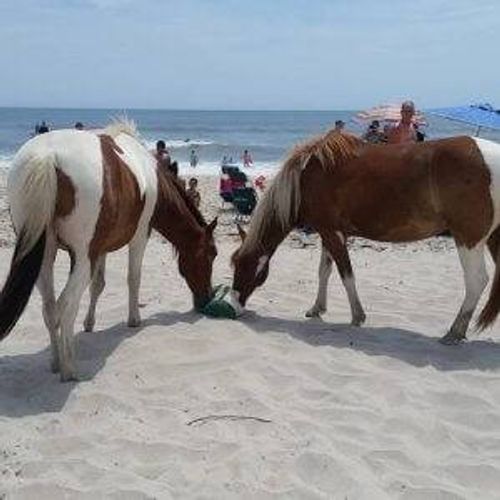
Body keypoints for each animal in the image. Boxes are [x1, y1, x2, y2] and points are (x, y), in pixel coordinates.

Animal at [0, 121, 217, 378]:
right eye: (211, 255)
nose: (207, 297)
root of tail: (48, 156)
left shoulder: (100, 248)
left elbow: (98, 285)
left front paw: (90, 323)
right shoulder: (139, 237)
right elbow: (133, 278)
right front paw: (134, 319)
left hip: (44, 256)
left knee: (50, 308)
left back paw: (55, 362)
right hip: (82, 259)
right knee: (66, 305)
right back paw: (69, 368)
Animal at [231, 130, 500, 344]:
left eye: (243, 266)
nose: (234, 306)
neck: (307, 176)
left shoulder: (332, 233)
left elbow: (346, 273)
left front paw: (357, 316)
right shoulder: (329, 232)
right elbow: (324, 271)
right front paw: (317, 308)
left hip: (468, 238)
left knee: (476, 281)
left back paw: (455, 331)